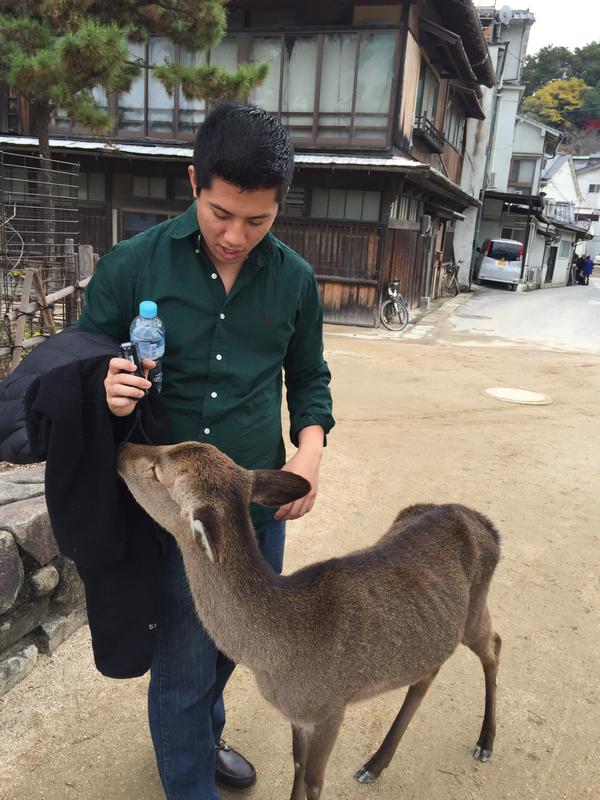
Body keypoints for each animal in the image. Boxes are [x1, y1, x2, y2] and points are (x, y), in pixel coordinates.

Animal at [117, 441, 502, 800]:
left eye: (157, 471)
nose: (122, 448)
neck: (276, 659)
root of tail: (487, 524)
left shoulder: (331, 708)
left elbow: (315, 781)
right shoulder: (299, 716)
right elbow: (298, 767)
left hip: (475, 609)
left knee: (494, 645)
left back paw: (485, 744)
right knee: (429, 672)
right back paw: (375, 764)